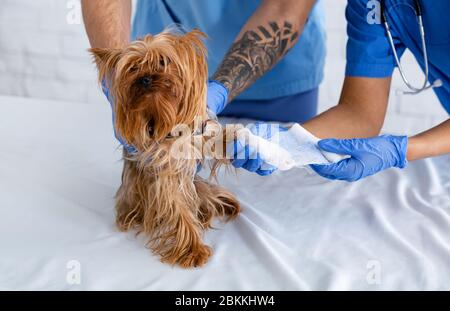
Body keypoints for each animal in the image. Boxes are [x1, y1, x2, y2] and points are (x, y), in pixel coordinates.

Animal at [89, 29, 241, 268]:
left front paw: (235, 141)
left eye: (163, 61)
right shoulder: (163, 173)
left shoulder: (196, 130)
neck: (160, 114)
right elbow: (177, 208)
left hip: (199, 186)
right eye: (133, 67)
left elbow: (212, 137)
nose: (146, 78)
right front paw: (193, 249)